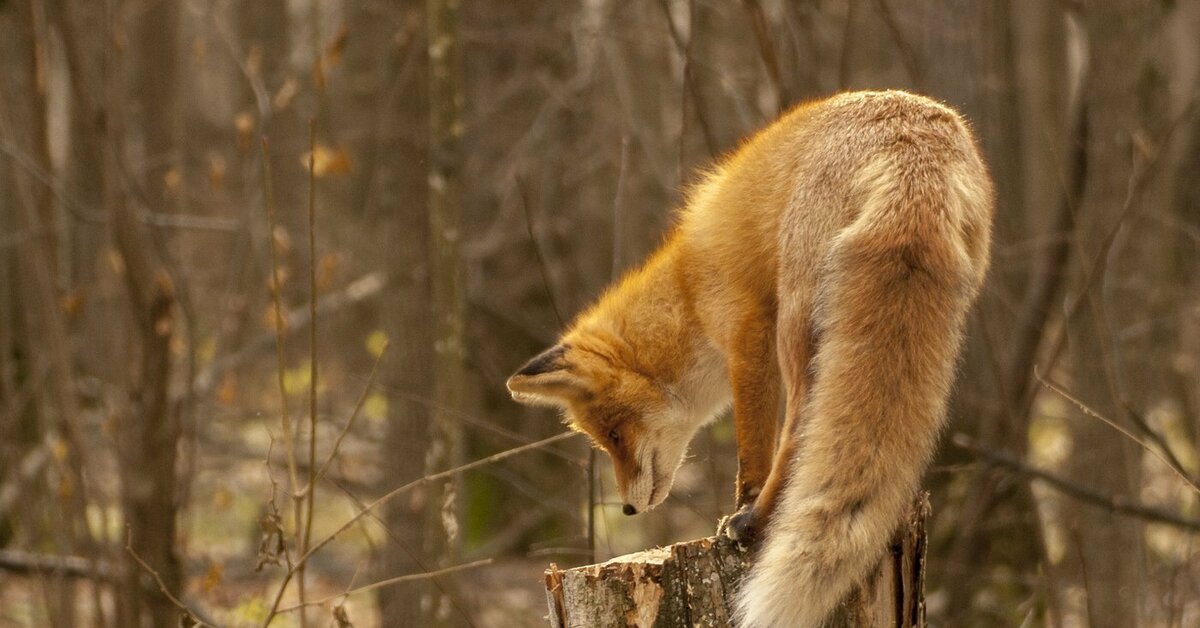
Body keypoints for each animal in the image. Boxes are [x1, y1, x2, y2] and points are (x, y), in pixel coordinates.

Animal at [506, 89, 993, 628]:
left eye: (613, 435)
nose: (629, 511)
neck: (688, 288)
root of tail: (915, 148)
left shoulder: (747, 331)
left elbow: (750, 445)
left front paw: (744, 502)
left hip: (797, 320)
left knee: (801, 425)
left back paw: (758, 518)